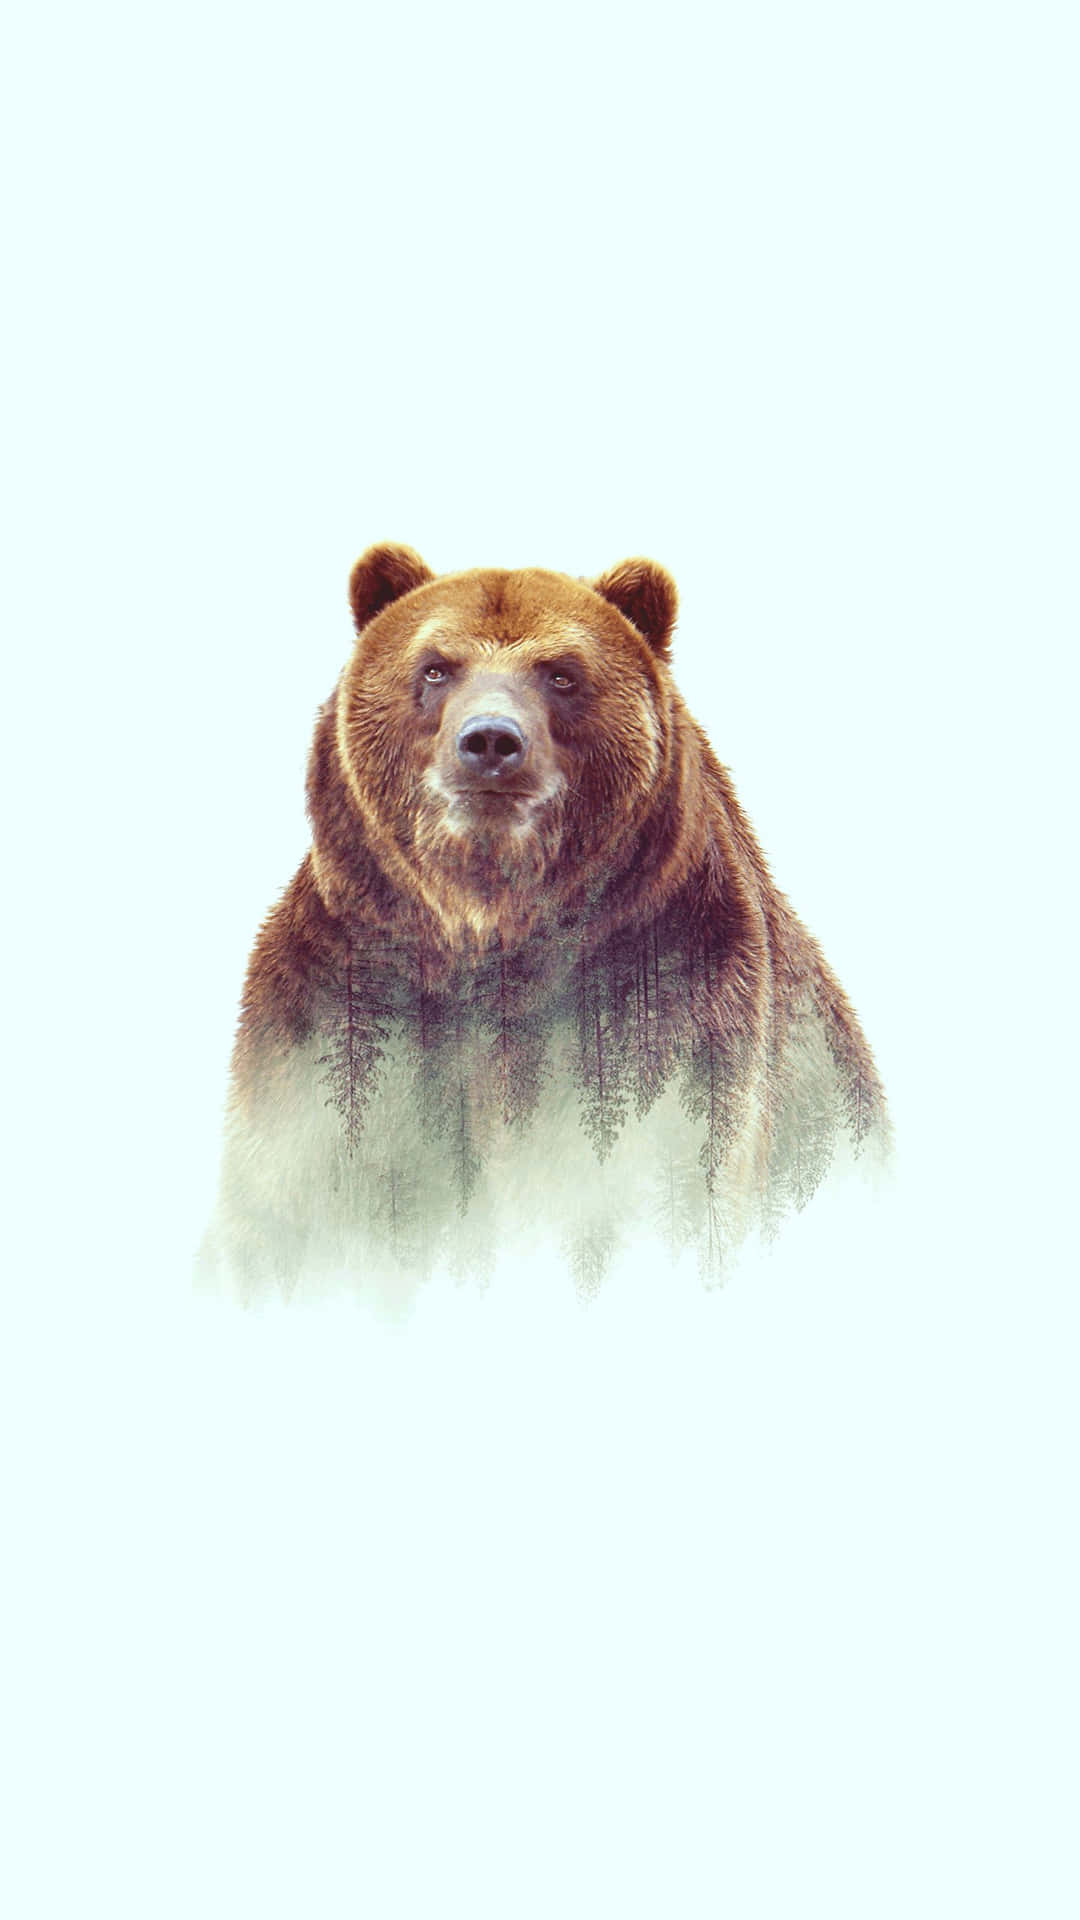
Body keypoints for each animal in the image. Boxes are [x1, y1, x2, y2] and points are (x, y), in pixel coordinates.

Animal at [202, 542, 889, 1302]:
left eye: (561, 673)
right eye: (436, 666)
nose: (490, 742)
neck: (488, 925)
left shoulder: (669, 998)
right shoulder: (340, 1001)